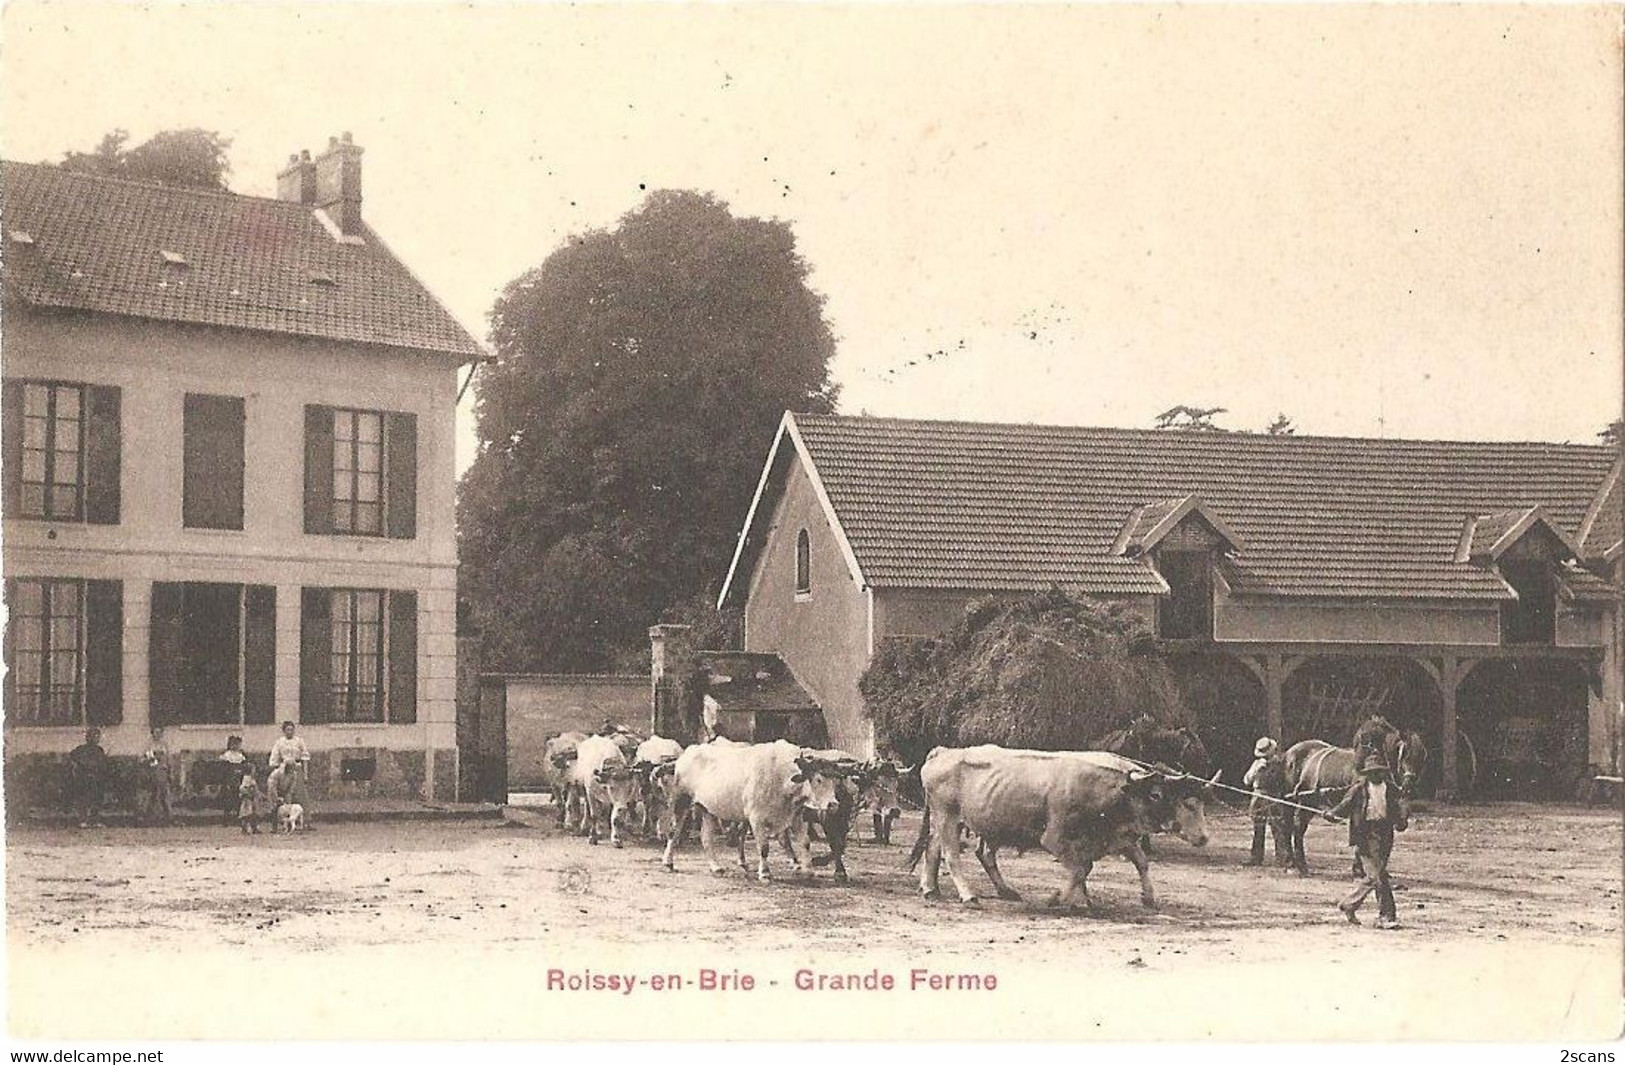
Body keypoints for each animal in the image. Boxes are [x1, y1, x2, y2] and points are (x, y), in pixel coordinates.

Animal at [1280, 715, 1423, 878]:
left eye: (1422, 756)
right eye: (1405, 753)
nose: (1409, 784)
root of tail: (1289, 753)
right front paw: (1359, 870)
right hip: (1300, 800)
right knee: (1294, 827)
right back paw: (1296, 865)